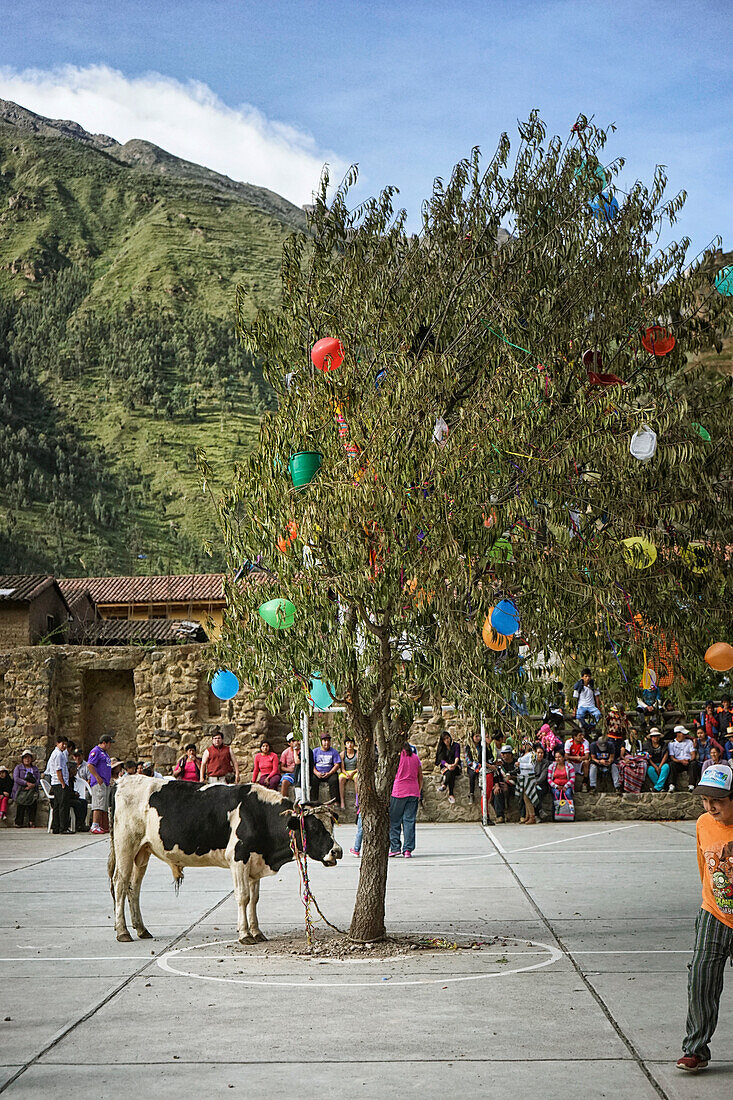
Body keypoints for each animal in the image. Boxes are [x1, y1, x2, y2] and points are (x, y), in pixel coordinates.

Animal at [107, 774, 341, 946]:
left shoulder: (254, 863)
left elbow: (254, 899)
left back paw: (141, 928)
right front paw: (245, 934)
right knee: (120, 884)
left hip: (142, 852)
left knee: (133, 888)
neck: (259, 815)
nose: (337, 851)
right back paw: (123, 931)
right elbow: (243, 897)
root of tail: (121, 781)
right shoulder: (238, 859)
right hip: (125, 845)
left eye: (331, 824)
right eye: (314, 827)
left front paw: (257, 931)